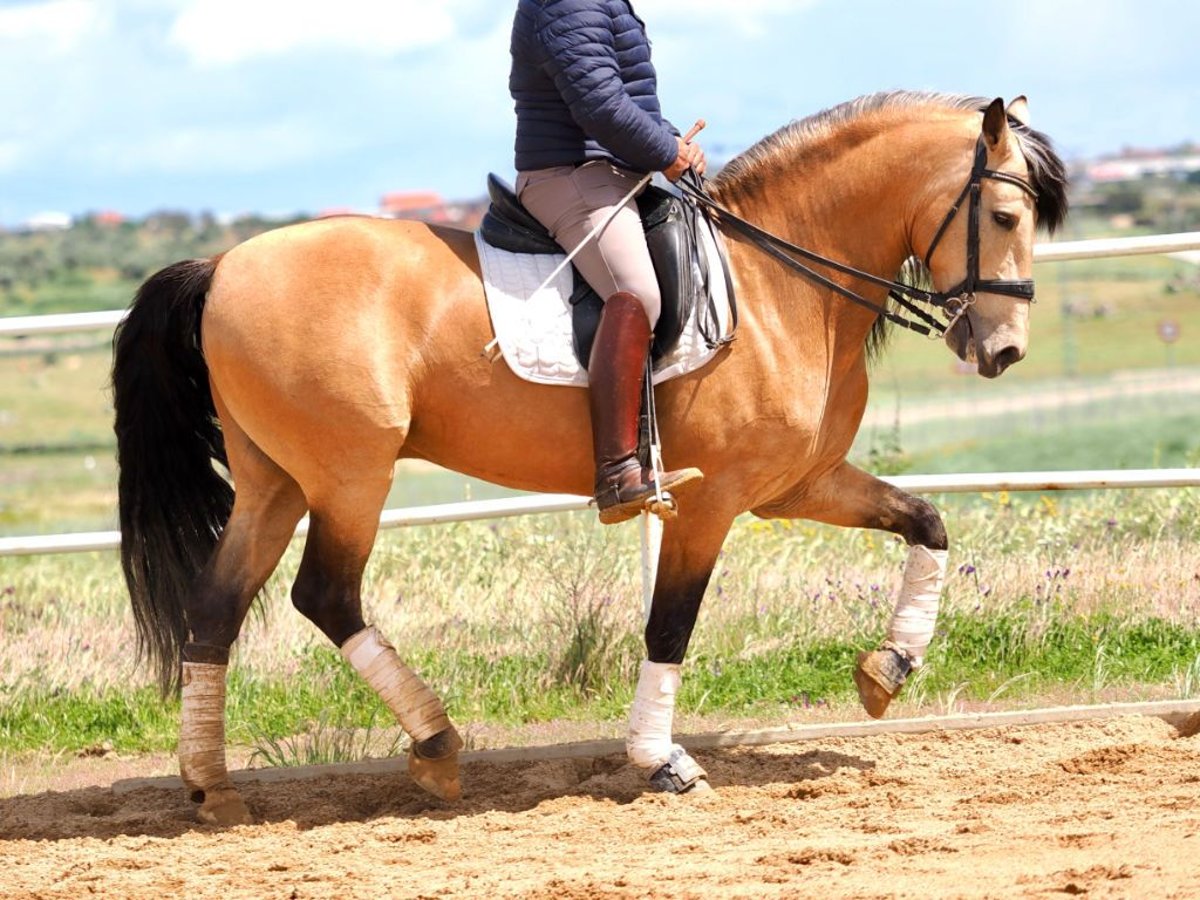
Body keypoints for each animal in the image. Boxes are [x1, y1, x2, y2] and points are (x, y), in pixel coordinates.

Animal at [111, 91, 1067, 824]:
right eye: (1006, 217)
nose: (1007, 350)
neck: (777, 285)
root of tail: (224, 264)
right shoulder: (711, 502)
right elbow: (670, 625)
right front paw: (660, 761)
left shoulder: (797, 486)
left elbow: (927, 522)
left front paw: (888, 669)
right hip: (350, 476)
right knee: (325, 594)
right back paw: (435, 744)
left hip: (274, 481)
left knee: (216, 607)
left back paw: (212, 788)